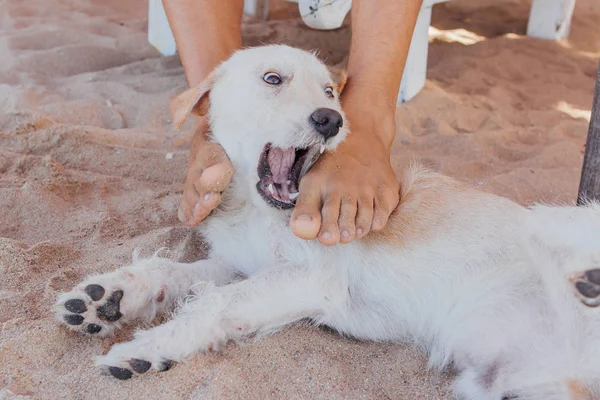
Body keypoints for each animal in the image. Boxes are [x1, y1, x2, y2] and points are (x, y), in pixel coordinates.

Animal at [54, 45, 596, 398]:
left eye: (331, 91)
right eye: (273, 79)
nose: (331, 120)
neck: (256, 210)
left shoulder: (311, 276)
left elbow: (213, 302)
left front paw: (146, 348)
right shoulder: (244, 264)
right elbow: (175, 272)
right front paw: (109, 298)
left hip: (557, 221)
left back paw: (585, 277)